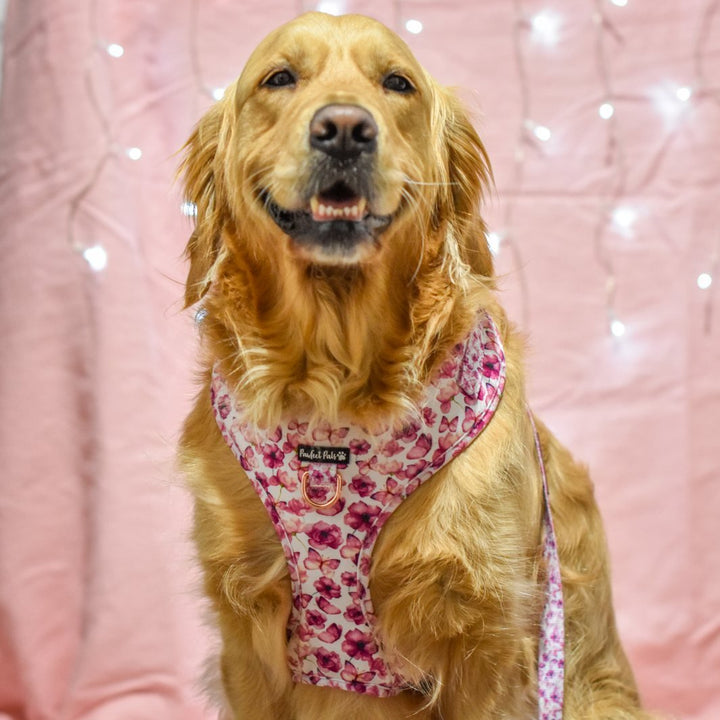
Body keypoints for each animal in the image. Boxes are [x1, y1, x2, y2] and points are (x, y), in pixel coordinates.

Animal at [179, 11, 660, 720]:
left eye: (397, 83)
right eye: (280, 78)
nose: (344, 129)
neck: (336, 390)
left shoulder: (489, 642)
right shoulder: (245, 640)